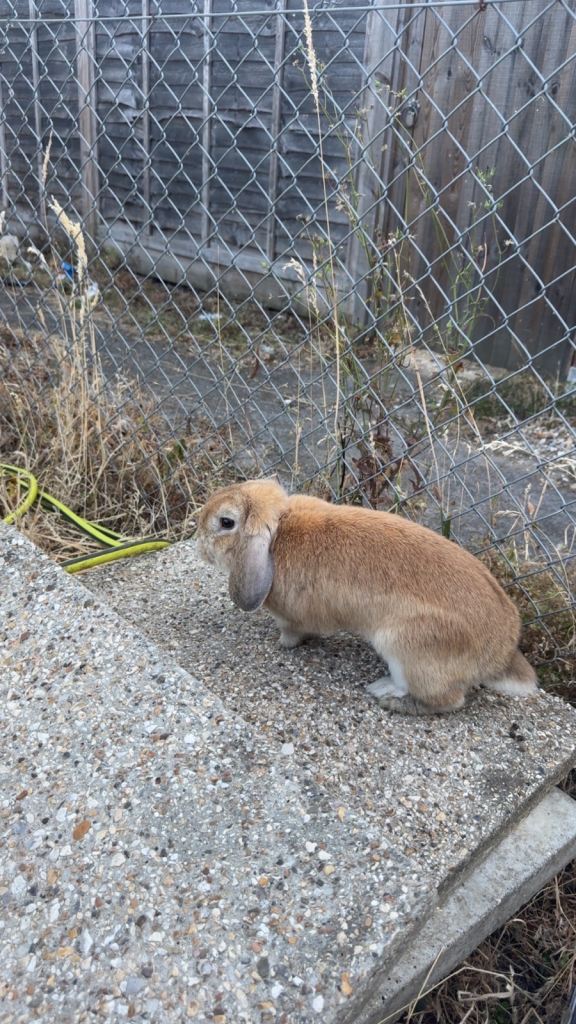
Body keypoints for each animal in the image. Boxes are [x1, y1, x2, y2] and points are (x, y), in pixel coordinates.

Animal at [196, 478, 538, 715]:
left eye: (225, 522)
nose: (200, 547)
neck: (280, 527)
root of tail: (498, 655)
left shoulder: (292, 618)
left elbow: (293, 633)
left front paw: (281, 644)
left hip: (406, 648)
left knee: (447, 700)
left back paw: (386, 696)